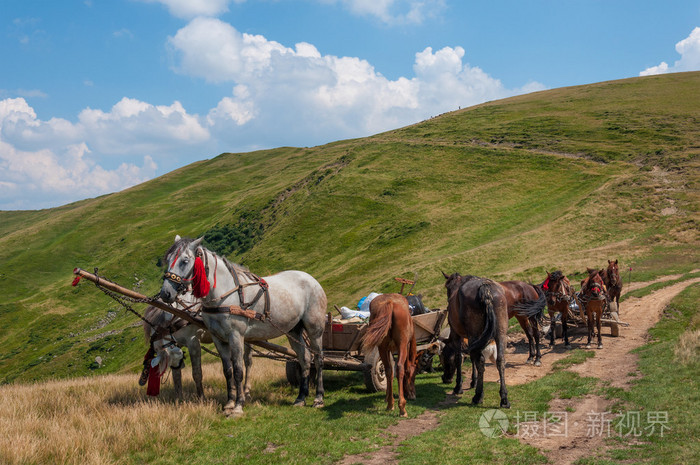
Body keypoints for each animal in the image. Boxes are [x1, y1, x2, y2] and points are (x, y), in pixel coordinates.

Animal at [157, 236, 326, 414]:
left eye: (184, 260)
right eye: (168, 259)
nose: (165, 293)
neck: (225, 293)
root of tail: (312, 280)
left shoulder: (236, 336)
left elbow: (238, 370)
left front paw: (238, 405)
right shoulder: (218, 339)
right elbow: (227, 370)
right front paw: (229, 403)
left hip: (315, 329)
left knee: (318, 358)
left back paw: (318, 397)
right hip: (293, 331)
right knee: (304, 358)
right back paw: (301, 397)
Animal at [442, 270, 508, 408]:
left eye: (444, 359)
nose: (444, 378)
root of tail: (485, 288)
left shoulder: (457, 335)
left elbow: (459, 358)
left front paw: (459, 386)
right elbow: (472, 358)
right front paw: (473, 381)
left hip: (475, 335)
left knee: (481, 361)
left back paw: (478, 396)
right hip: (500, 334)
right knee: (500, 360)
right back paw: (504, 398)